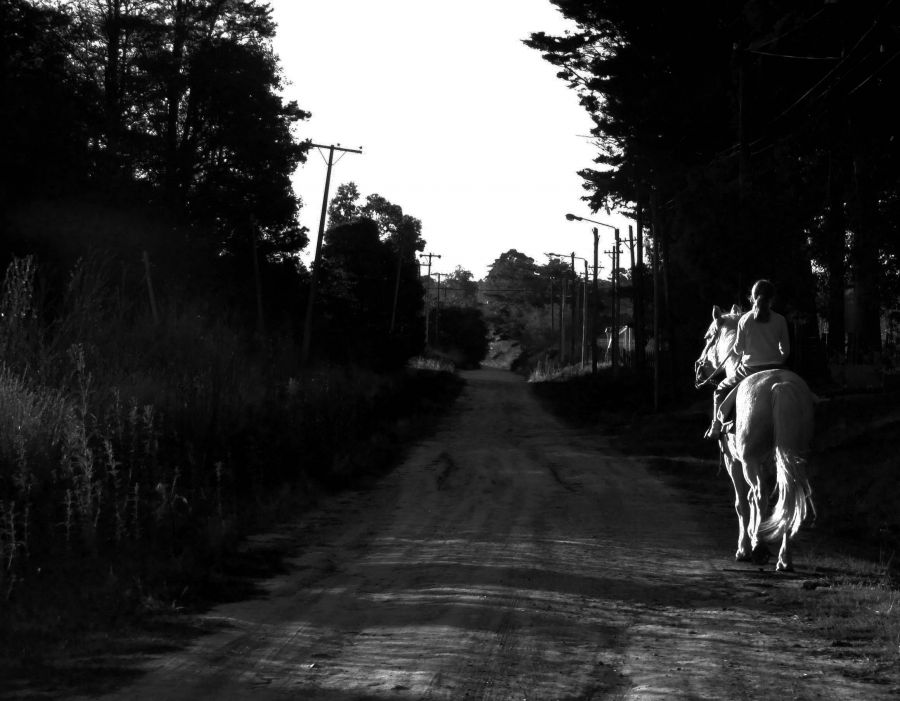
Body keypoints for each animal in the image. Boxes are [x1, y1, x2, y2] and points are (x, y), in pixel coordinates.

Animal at [696, 304, 816, 568]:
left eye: (708, 337)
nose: (699, 367)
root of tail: (779, 387)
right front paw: (753, 537)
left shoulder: (733, 461)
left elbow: (742, 502)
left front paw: (745, 547)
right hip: (794, 457)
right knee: (791, 493)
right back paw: (784, 558)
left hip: (749, 461)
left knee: (760, 496)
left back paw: (760, 549)